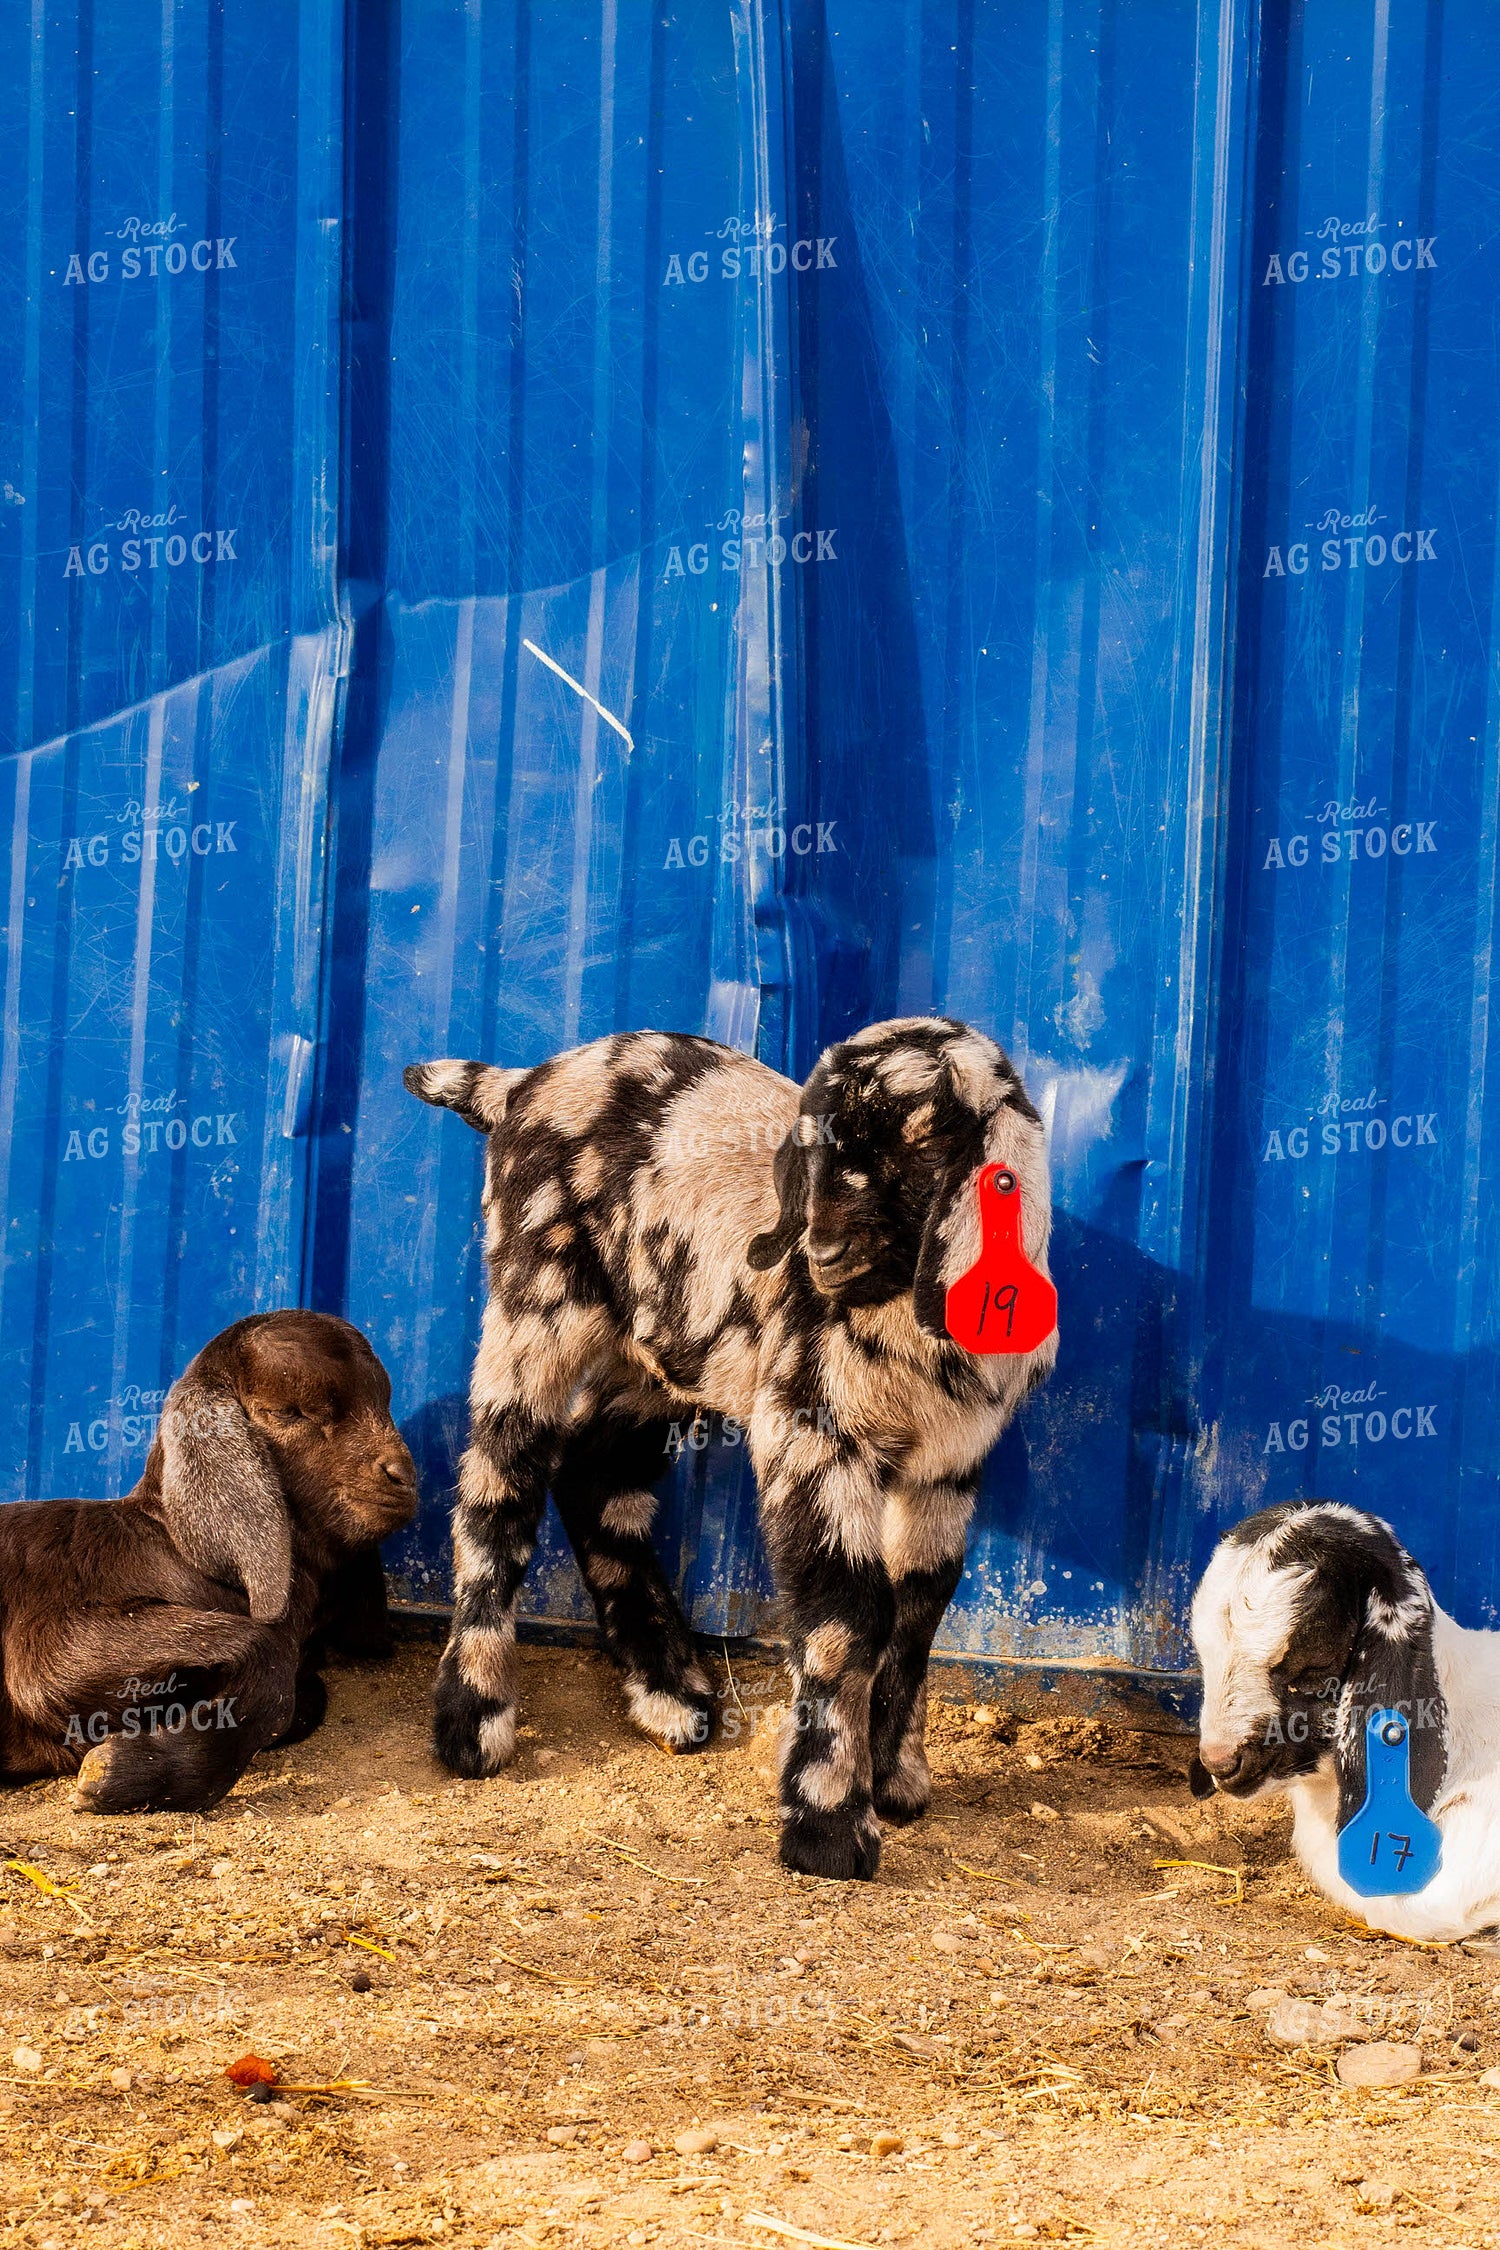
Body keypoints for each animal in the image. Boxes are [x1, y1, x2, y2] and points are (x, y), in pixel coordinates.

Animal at [0, 1311, 416, 1814]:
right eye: (289, 1412)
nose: (403, 1476)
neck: (169, 1545)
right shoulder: (54, 1633)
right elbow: (270, 1666)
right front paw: (116, 1774)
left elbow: (302, 1695)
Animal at [405, 1016, 1056, 1881]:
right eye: (813, 1153)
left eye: (917, 1146)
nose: (818, 1251)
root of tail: (519, 1083)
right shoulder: (811, 1431)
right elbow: (849, 1615)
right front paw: (828, 1827)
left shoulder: (950, 1464)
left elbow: (919, 1611)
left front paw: (896, 1780)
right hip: (537, 1301)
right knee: (498, 1486)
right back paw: (474, 1719)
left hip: (661, 1345)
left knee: (591, 1472)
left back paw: (667, 1690)